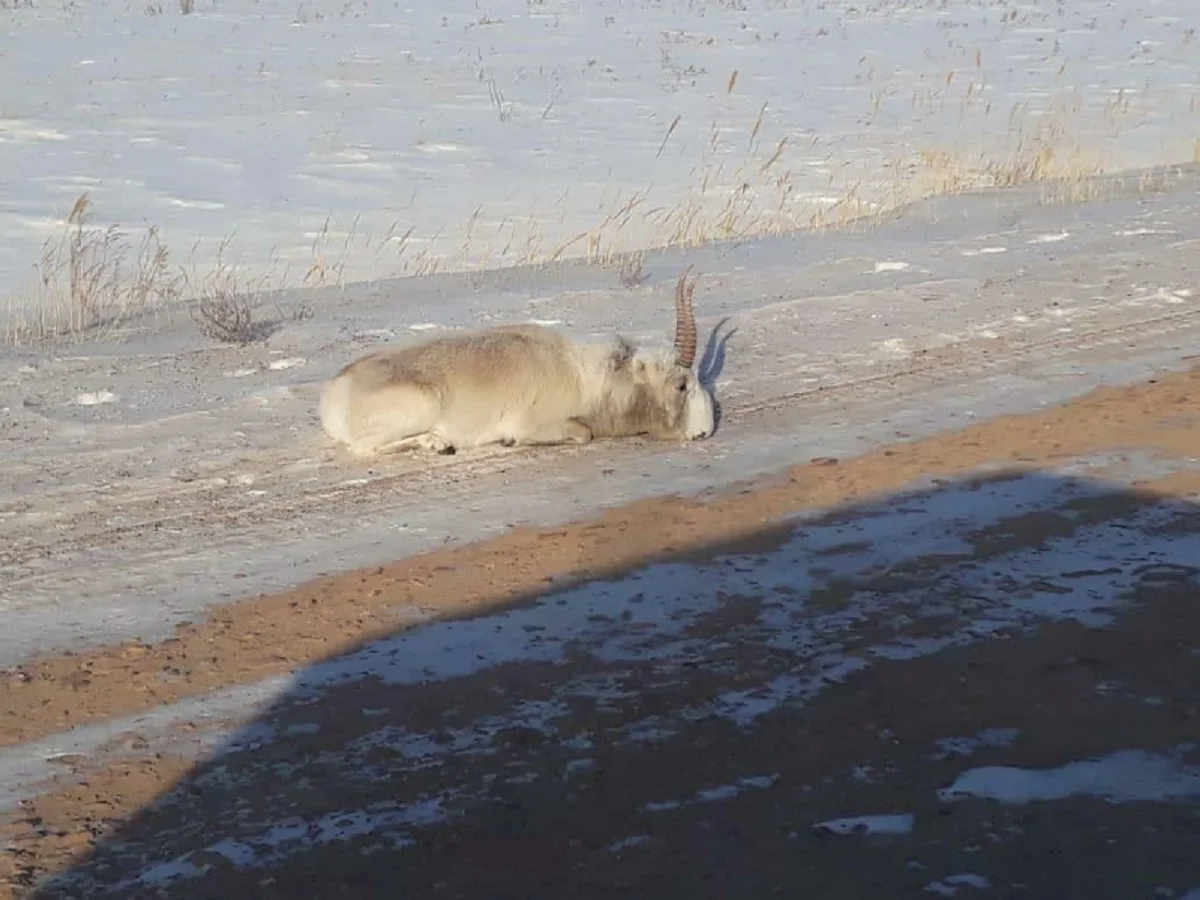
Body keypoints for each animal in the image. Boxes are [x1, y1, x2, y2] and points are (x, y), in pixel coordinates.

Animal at [316, 264, 710, 453]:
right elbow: (582, 433)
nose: (705, 431)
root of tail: (334, 394)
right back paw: (436, 443)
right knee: (363, 449)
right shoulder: (541, 423)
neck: (591, 377)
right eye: (681, 385)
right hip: (422, 402)